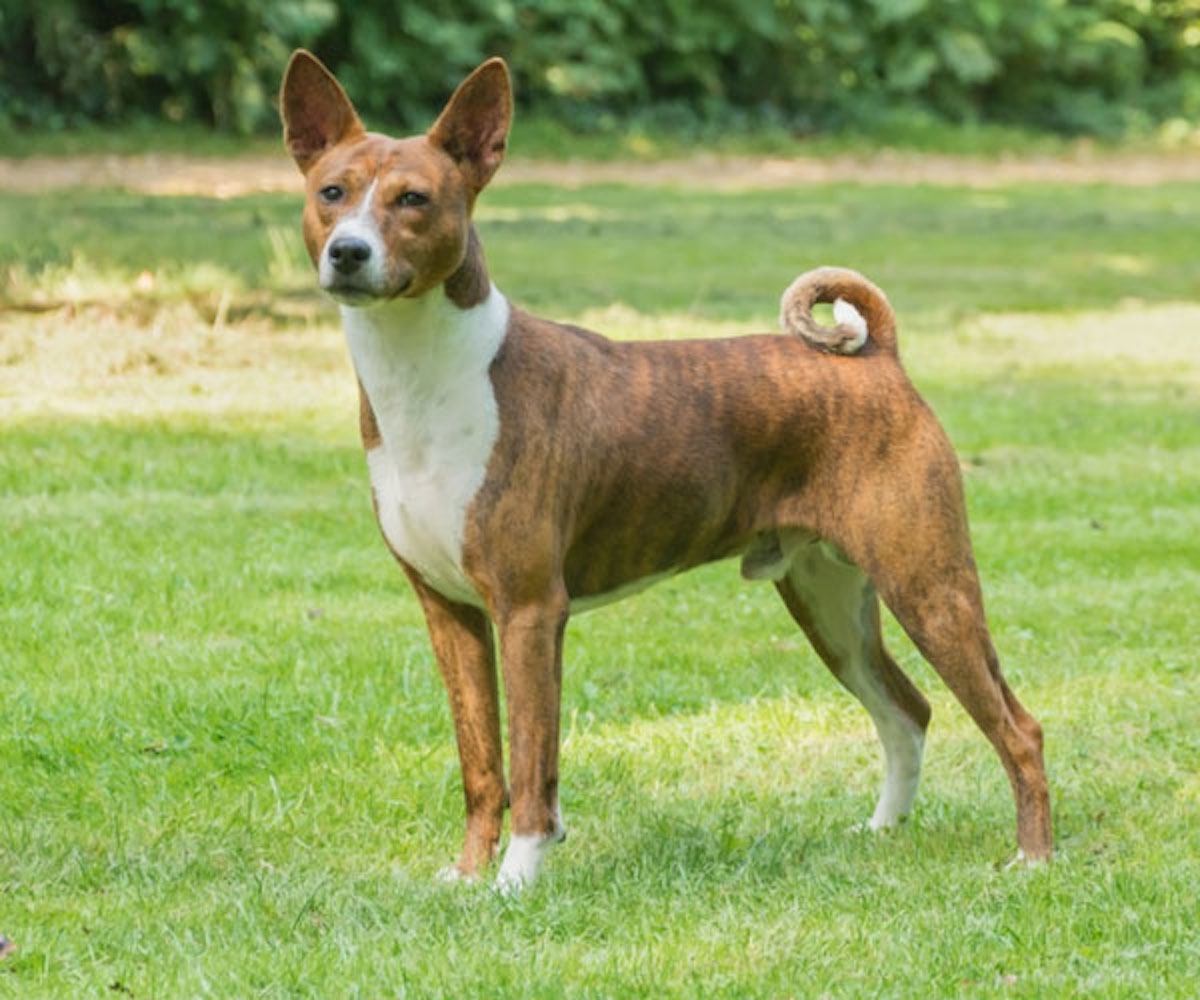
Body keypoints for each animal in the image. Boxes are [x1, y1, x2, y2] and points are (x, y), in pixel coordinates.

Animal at [278, 50, 1051, 883]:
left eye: (414, 200)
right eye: (332, 193)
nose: (349, 252)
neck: (429, 379)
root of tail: (880, 357)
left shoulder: (529, 610)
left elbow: (530, 765)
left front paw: (515, 881)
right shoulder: (450, 612)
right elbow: (481, 764)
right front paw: (465, 877)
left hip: (928, 585)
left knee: (1018, 728)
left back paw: (1033, 859)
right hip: (830, 600)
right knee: (908, 709)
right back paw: (882, 832)